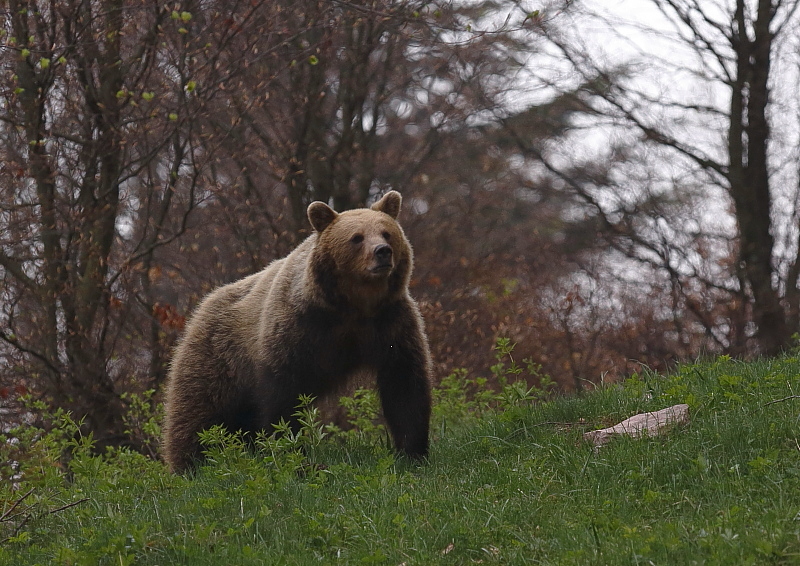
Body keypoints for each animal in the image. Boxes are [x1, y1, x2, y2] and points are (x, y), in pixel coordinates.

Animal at [159, 192, 428, 474]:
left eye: (387, 233)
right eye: (357, 237)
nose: (382, 252)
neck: (353, 306)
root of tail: (201, 307)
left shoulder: (390, 323)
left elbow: (404, 387)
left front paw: (413, 453)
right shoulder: (297, 328)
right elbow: (283, 395)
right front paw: (293, 453)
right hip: (219, 356)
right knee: (199, 412)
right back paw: (191, 465)